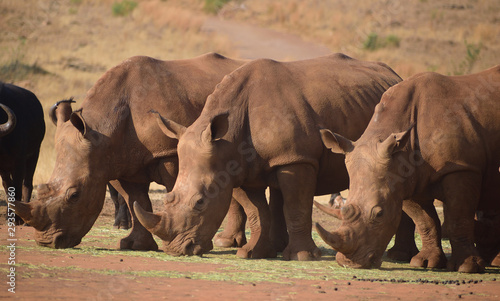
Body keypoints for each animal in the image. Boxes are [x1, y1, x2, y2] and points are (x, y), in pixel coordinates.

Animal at [15, 53, 250, 248]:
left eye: (74, 195)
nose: (47, 242)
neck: (103, 129)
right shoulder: (120, 159)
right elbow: (135, 200)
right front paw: (135, 245)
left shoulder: (169, 152)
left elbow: (177, 191)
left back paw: (224, 243)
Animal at [134, 52, 402, 258]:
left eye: (200, 202)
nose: (175, 250)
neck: (228, 139)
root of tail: (394, 74)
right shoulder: (237, 167)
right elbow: (256, 211)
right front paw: (252, 253)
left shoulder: (296, 159)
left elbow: (296, 206)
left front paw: (302, 256)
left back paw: (397, 257)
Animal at [316, 65, 500, 272]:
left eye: (379, 214)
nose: (348, 263)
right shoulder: (407, 177)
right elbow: (425, 221)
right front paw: (425, 262)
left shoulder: (461, 167)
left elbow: (458, 218)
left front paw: (466, 267)